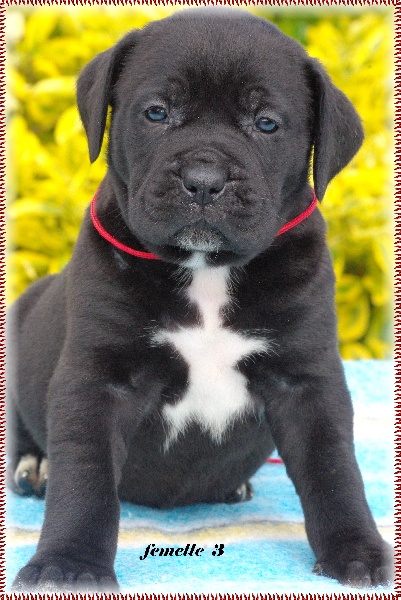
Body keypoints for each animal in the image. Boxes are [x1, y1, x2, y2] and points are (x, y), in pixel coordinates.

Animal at [7, 8, 392, 592]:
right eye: (156, 113)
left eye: (266, 124)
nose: (204, 180)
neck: (207, 270)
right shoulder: (98, 379)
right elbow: (85, 479)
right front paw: (69, 564)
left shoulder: (306, 381)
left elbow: (334, 470)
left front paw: (357, 550)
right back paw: (35, 467)